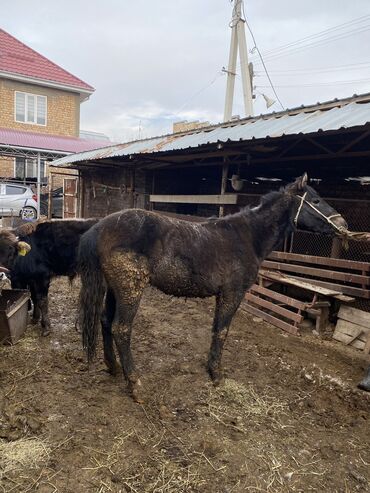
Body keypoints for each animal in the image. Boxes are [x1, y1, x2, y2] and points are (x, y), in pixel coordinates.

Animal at [77, 173, 346, 400]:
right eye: (316, 200)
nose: (342, 224)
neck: (247, 237)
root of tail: (99, 227)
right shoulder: (232, 293)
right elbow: (221, 331)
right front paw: (217, 375)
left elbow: (217, 329)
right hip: (130, 289)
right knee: (121, 329)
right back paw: (135, 384)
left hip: (114, 289)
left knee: (105, 322)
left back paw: (113, 367)